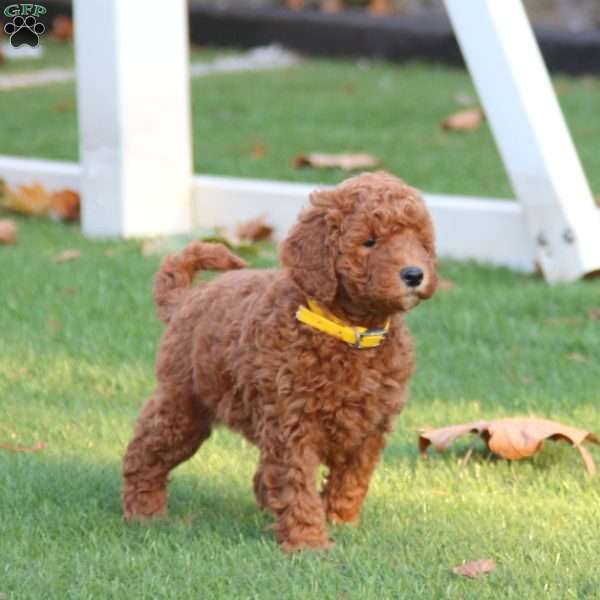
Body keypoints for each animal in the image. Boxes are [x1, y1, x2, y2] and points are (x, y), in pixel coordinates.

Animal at [122, 171, 436, 552]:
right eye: (370, 242)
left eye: (419, 240)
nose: (414, 274)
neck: (349, 332)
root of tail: (187, 299)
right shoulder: (292, 424)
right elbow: (297, 485)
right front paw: (308, 542)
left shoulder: (369, 427)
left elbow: (351, 480)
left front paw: (340, 521)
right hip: (183, 405)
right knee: (144, 452)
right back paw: (144, 511)